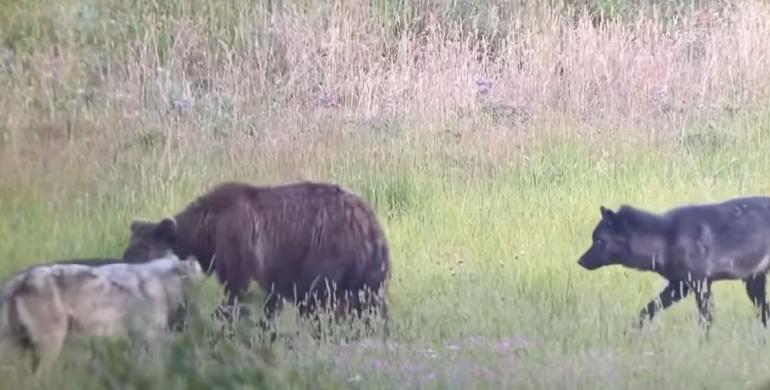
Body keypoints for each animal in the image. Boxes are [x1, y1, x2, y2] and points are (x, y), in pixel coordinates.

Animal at [123, 180, 392, 336]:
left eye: (142, 251)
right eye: (128, 251)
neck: (207, 231)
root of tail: (371, 223)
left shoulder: (238, 242)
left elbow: (237, 292)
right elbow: (270, 301)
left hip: (329, 254)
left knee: (320, 302)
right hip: (367, 274)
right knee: (369, 306)